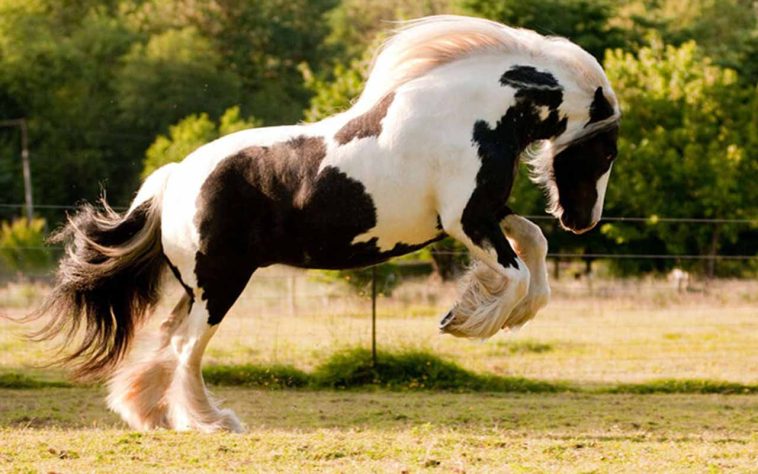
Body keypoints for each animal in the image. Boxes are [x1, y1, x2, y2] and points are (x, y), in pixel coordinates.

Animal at [28, 15, 620, 432]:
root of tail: (174, 180)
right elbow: (517, 273)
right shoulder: (465, 220)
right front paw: (465, 320)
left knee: (170, 340)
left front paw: (489, 314)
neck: (469, 114)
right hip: (220, 286)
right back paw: (212, 422)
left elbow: (534, 248)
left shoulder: (486, 214)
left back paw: (149, 414)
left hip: (196, 288)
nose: (581, 221)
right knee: (186, 349)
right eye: (608, 151)